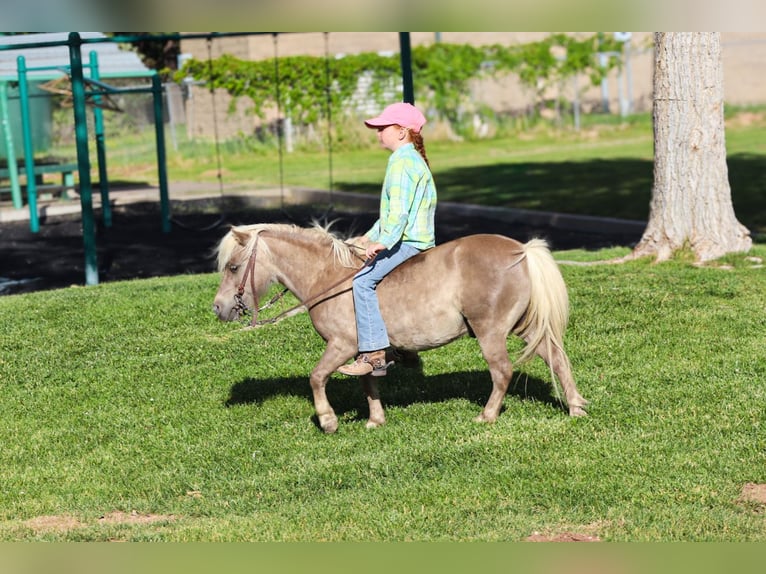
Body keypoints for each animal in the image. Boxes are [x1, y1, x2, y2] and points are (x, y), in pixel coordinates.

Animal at [212, 223, 588, 433]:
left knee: (502, 371)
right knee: (556, 358)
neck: (329, 278)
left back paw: (487, 415)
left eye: (233, 267)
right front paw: (375, 420)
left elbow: (317, 377)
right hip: (524, 327)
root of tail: (521, 250)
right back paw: (575, 407)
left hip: (490, 331)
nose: (218, 307)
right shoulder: (364, 352)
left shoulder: (342, 345)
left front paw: (328, 420)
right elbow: (367, 381)